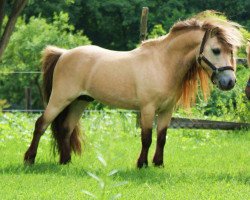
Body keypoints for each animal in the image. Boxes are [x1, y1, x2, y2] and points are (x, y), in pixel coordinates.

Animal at [23, 14, 242, 168]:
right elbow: (147, 138)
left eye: (231, 51)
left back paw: (65, 161)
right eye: (216, 50)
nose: (230, 82)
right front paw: (142, 164)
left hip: (80, 101)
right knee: (41, 124)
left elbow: (162, 138)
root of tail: (64, 54)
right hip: (60, 99)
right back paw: (29, 159)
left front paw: (158, 164)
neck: (162, 64)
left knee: (66, 128)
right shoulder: (147, 109)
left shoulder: (166, 111)